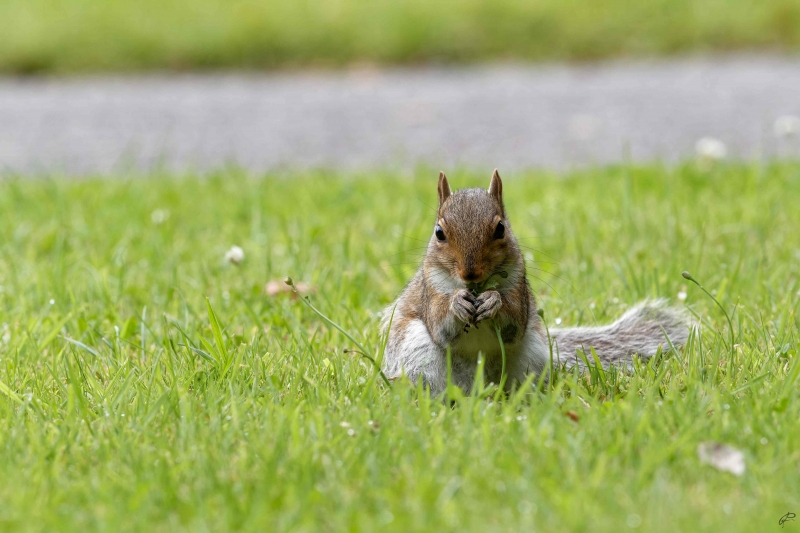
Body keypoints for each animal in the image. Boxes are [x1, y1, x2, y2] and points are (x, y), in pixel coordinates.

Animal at [380, 170, 688, 394]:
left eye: (500, 229)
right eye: (439, 233)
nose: (470, 274)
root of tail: (479, 388)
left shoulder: (519, 289)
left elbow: (513, 324)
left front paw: (494, 301)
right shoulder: (429, 292)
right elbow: (440, 326)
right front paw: (457, 303)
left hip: (531, 356)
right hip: (418, 357)